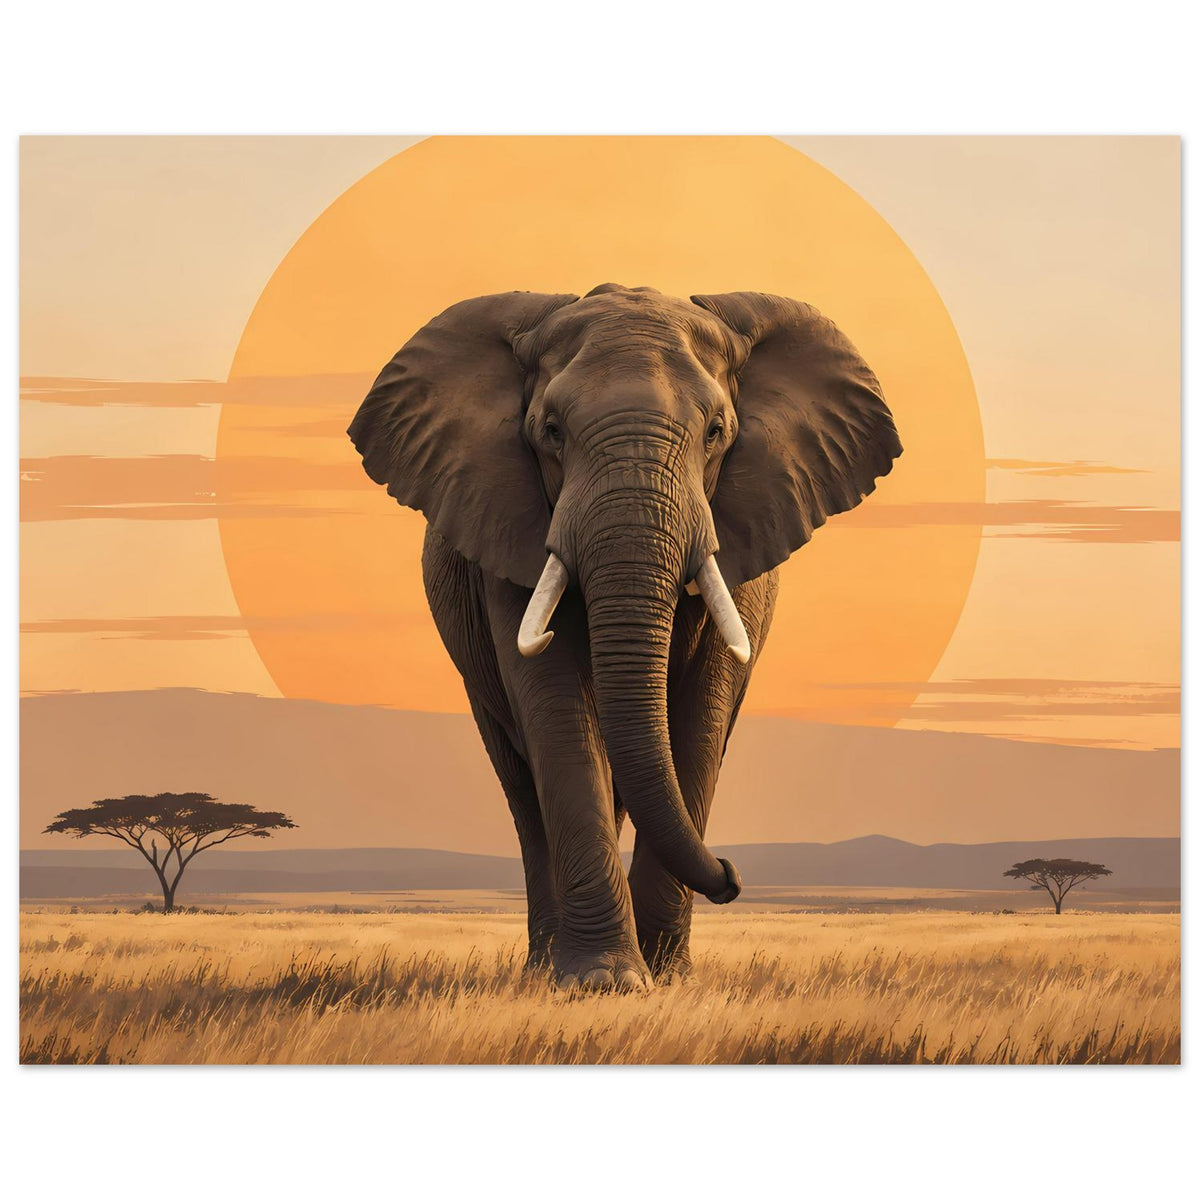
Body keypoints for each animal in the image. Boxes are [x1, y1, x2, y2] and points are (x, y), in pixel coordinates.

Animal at [348, 283, 901, 990]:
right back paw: (543, 970)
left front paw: (668, 980)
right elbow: (555, 706)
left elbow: (701, 714)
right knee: (523, 786)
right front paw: (603, 984)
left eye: (716, 432)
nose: (732, 876)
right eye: (550, 432)